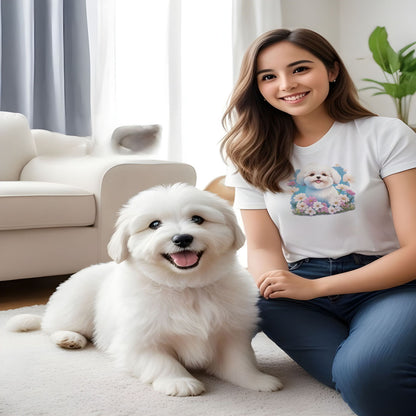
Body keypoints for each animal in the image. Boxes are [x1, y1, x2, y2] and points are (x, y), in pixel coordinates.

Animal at [6, 184, 282, 396]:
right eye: (154, 224)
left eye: (197, 219)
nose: (182, 238)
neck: (186, 287)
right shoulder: (138, 341)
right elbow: (160, 361)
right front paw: (179, 382)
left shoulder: (230, 334)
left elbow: (239, 360)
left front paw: (258, 380)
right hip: (76, 305)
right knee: (52, 326)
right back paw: (69, 338)